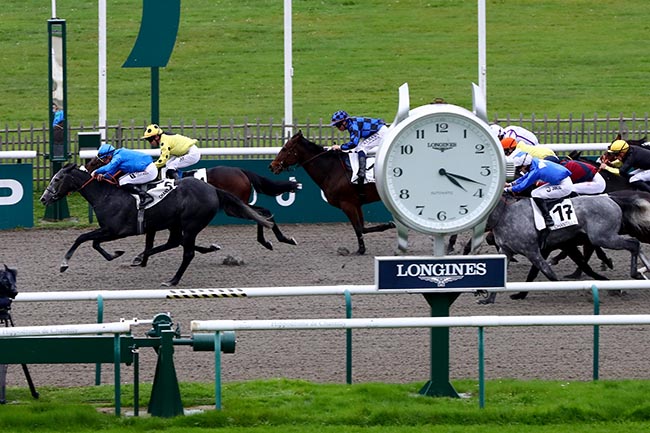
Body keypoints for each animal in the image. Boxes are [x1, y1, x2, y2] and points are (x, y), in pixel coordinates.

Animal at [39, 164, 270, 286]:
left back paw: (173, 280)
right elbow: (94, 243)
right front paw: (118, 254)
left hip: (191, 224)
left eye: (57, 179)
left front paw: (64, 264)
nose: (43, 198)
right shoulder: (112, 230)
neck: (106, 195)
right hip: (176, 223)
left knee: (187, 252)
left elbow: (82, 238)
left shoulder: (114, 230)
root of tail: (213, 189)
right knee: (176, 242)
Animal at [85, 156, 300, 250]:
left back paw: (273, 240)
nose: (86, 167)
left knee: (260, 212)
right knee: (262, 211)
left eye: (97, 160)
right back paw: (274, 240)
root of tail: (240, 170)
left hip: (234, 205)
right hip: (236, 204)